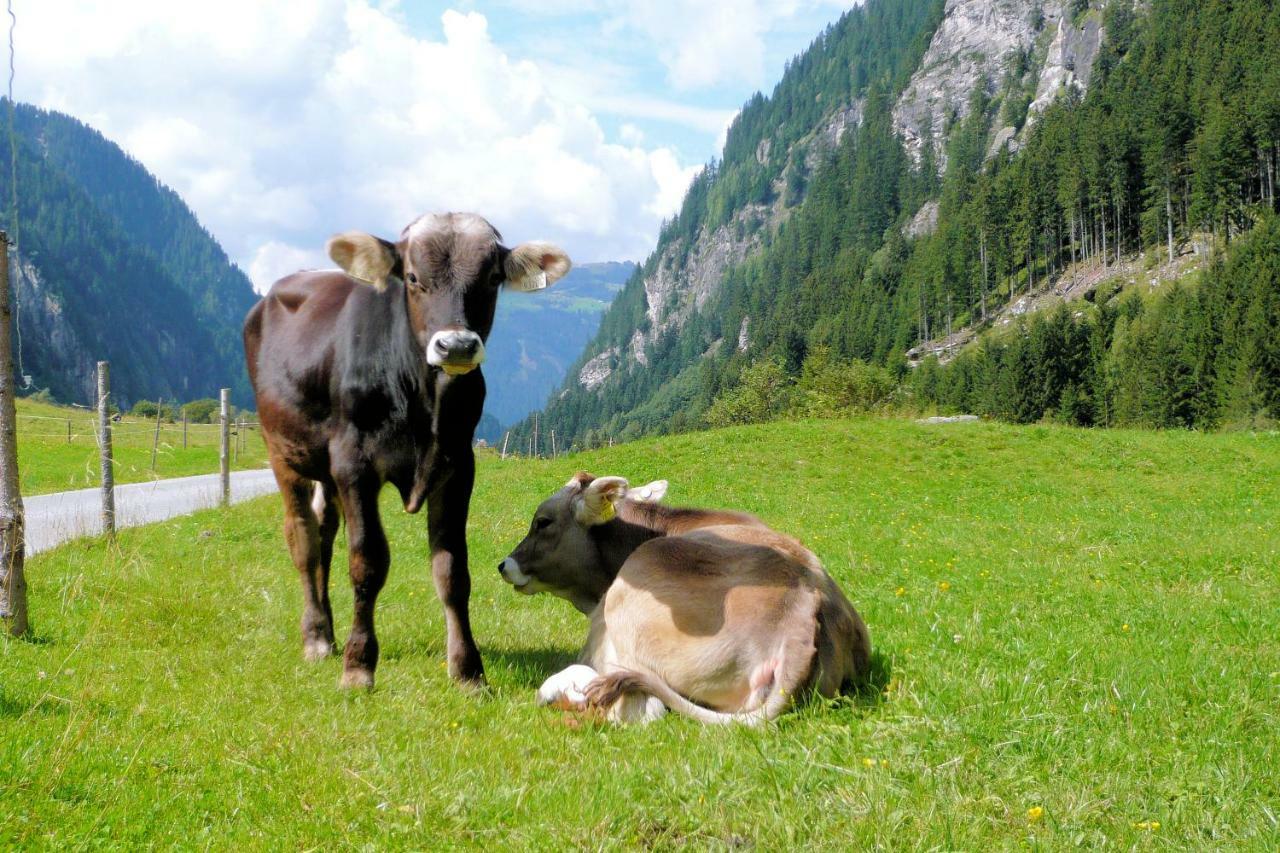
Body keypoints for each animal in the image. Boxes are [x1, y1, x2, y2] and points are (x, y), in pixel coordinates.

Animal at [243, 212, 570, 686]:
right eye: (413, 278)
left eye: (492, 278)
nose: (456, 345)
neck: (421, 396)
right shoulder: (354, 464)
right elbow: (367, 561)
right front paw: (359, 665)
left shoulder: (458, 466)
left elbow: (452, 570)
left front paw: (468, 670)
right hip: (282, 451)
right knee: (302, 539)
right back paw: (317, 637)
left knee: (324, 533)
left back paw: (329, 631)